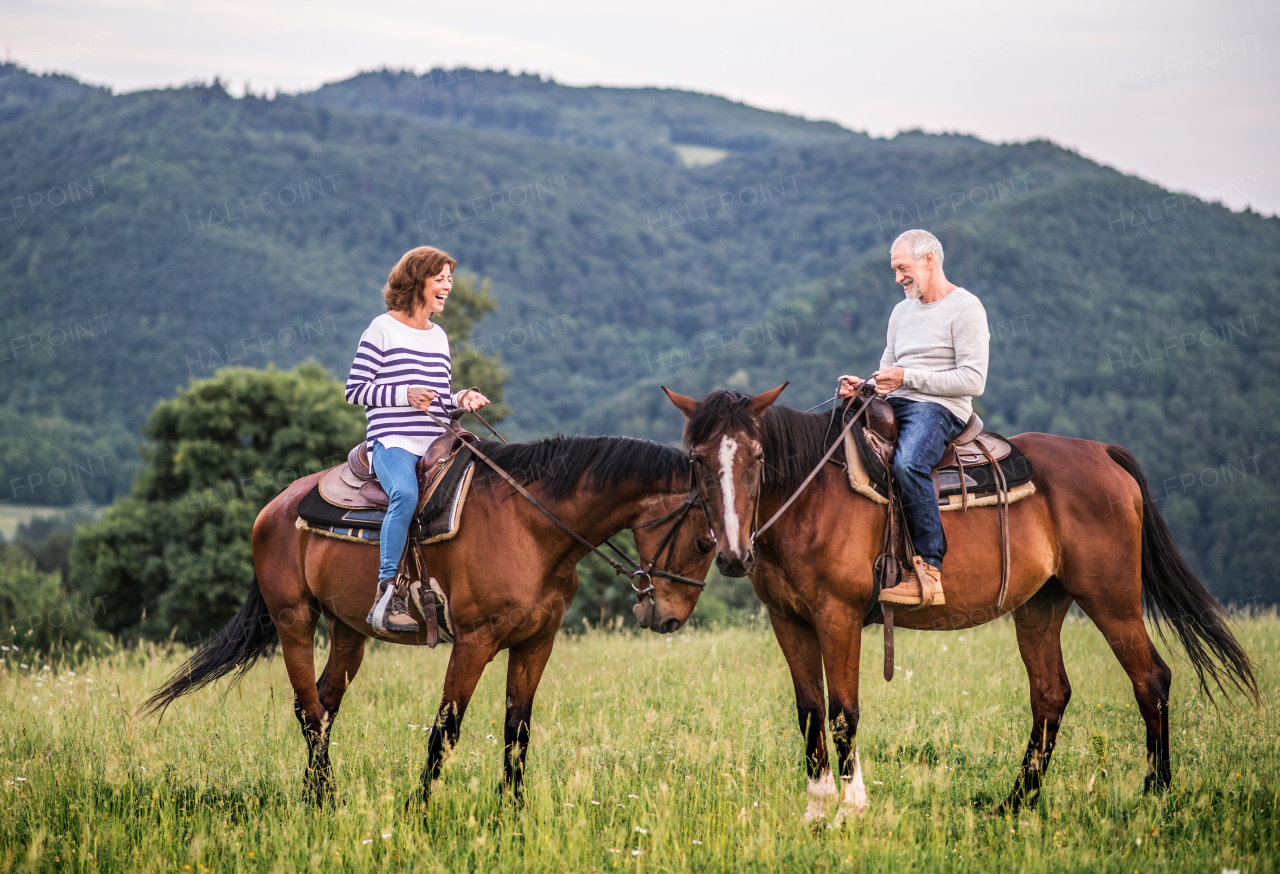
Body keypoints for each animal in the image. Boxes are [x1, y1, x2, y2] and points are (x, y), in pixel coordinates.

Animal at [147, 437, 721, 813]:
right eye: (702, 542)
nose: (669, 617)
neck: (531, 526)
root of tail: (274, 507)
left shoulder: (536, 642)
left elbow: (518, 731)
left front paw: (512, 814)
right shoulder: (474, 642)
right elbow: (445, 731)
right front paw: (418, 811)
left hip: (348, 629)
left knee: (324, 705)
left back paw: (314, 798)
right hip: (294, 619)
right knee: (308, 711)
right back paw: (326, 799)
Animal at [670, 389, 1259, 829]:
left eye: (757, 458)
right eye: (697, 461)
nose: (732, 555)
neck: (811, 494)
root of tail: (1101, 452)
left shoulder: (837, 616)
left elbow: (842, 713)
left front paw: (848, 813)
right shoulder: (788, 620)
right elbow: (810, 713)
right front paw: (815, 815)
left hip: (1110, 599)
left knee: (1150, 679)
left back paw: (1153, 796)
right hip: (1040, 605)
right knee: (1050, 694)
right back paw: (1016, 803)